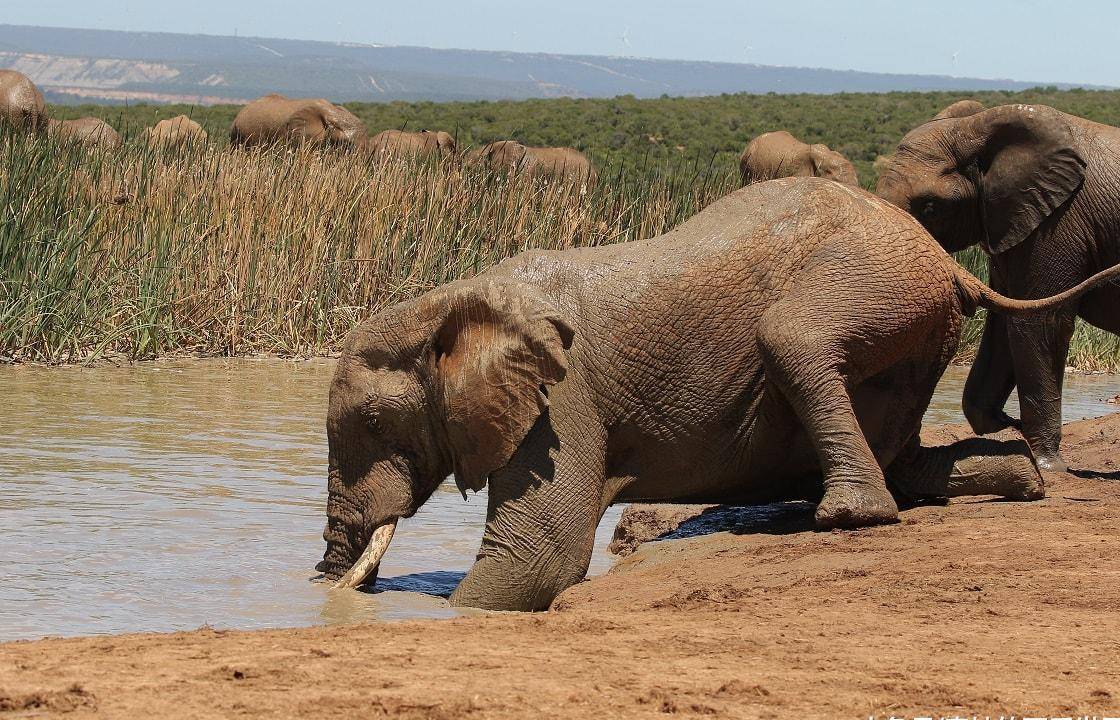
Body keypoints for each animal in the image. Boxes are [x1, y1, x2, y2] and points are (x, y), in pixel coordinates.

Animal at [318, 176, 1120, 609]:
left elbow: (537, 560)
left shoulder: (562, 404)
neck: (454, 300)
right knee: (906, 458)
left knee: (793, 338)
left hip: (874, 280)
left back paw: (845, 516)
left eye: (373, 422)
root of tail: (951, 264)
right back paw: (1018, 480)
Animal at [873, 103, 1120, 472]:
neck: (976, 125)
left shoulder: (1058, 221)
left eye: (930, 208)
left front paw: (1047, 464)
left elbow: (1038, 323)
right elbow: (1004, 320)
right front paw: (1007, 428)